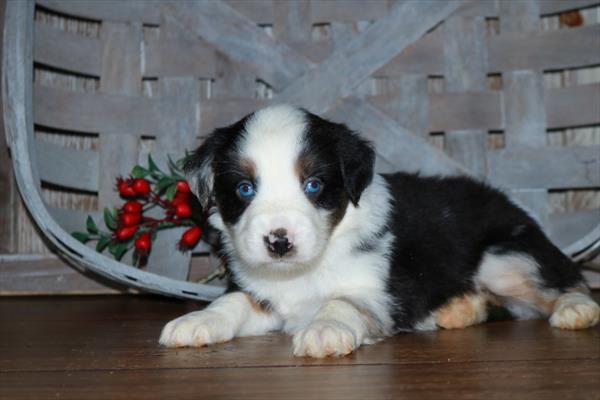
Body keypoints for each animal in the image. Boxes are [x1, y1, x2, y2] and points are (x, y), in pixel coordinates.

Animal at [159, 104, 600, 358]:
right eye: (245, 189)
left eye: (314, 185)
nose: (279, 242)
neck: (308, 268)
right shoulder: (262, 292)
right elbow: (232, 301)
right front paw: (196, 321)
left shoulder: (378, 294)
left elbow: (342, 301)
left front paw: (324, 329)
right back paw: (457, 310)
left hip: (503, 257)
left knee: (567, 285)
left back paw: (576, 310)